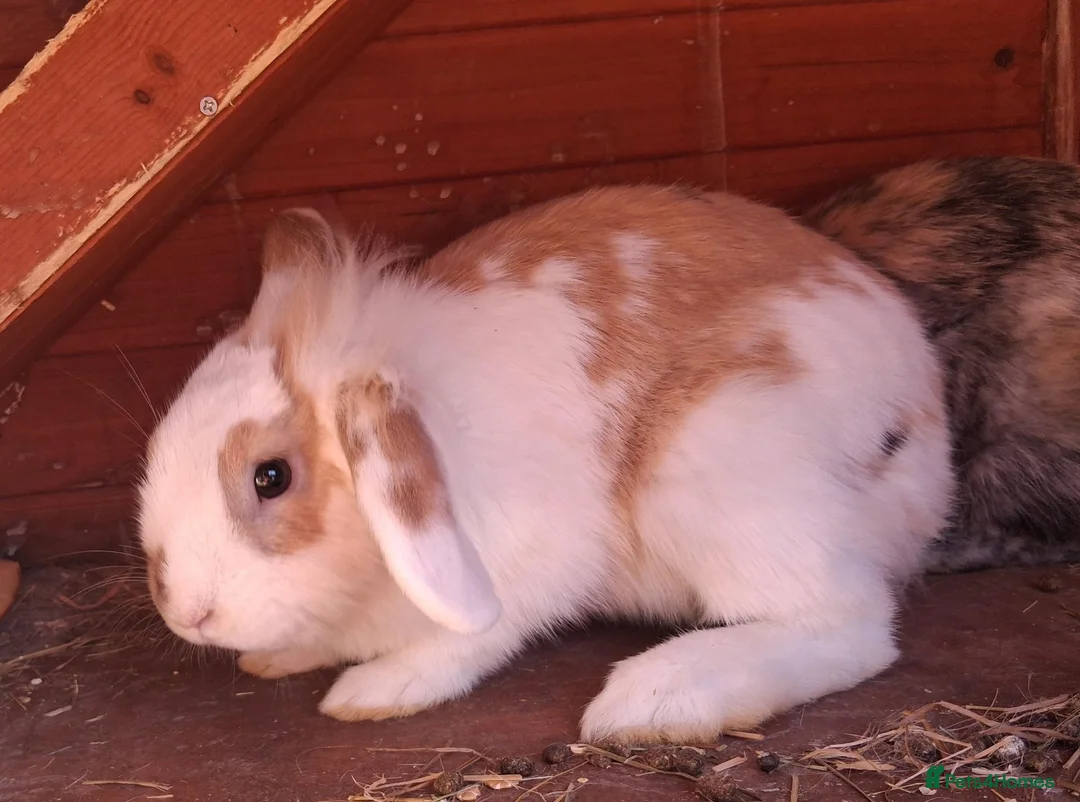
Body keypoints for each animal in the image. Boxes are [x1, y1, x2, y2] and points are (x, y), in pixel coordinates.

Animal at [135, 184, 953, 744]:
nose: (187, 613)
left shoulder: (530, 559)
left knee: (848, 624)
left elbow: (471, 636)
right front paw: (276, 659)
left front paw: (376, 691)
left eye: (270, 476)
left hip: (722, 468)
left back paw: (652, 700)